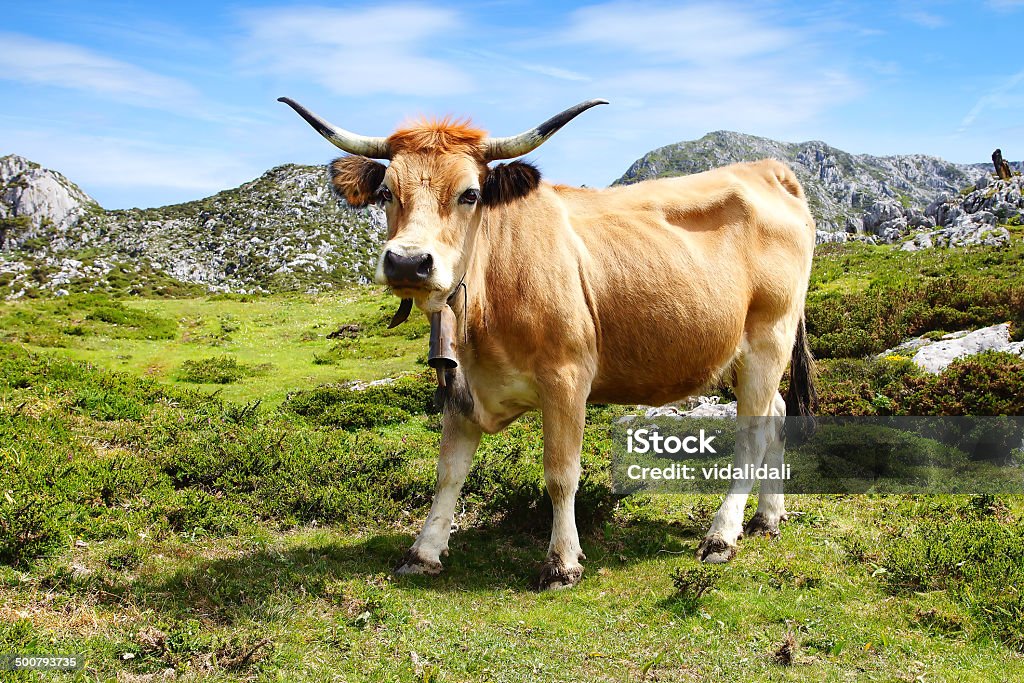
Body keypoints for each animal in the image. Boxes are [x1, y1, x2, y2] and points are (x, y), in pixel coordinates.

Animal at [278, 94, 815, 589]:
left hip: (769, 336)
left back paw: (722, 534)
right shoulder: (461, 386)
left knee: (753, 433)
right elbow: (448, 473)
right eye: (387, 191)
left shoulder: (567, 379)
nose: (408, 262)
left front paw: (562, 562)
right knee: (777, 414)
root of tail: (767, 169)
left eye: (470, 194)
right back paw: (767, 517)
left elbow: (561, 474)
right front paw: (423, 551)